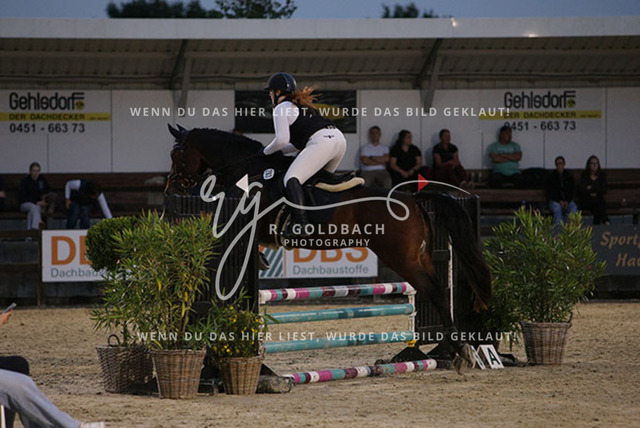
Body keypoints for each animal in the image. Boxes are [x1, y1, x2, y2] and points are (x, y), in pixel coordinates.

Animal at [164, 125, 491, 372]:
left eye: (176, 153)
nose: (171, 189)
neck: (250, 170)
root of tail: (414, 199)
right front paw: (261, 259)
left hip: (402, 260)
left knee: (436, 293)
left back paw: (455, 349)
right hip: (420, 258)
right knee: (436, 292)